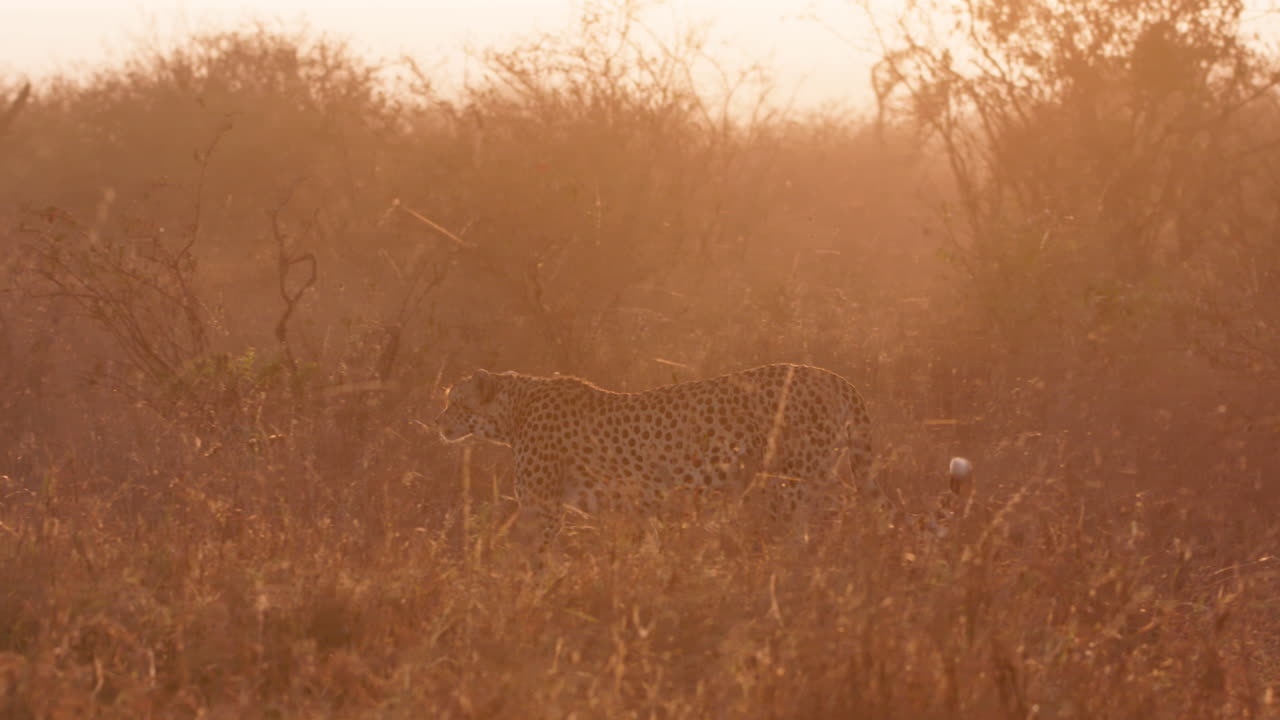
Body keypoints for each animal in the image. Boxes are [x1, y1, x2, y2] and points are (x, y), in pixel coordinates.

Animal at [436, 362, 887, 550]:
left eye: (455, 401)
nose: (438, 421)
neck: (513, 409)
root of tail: (833, 376)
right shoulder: (637, 507)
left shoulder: (541, 507)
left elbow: (533, 557)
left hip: (792, 483)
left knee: (818, 526)